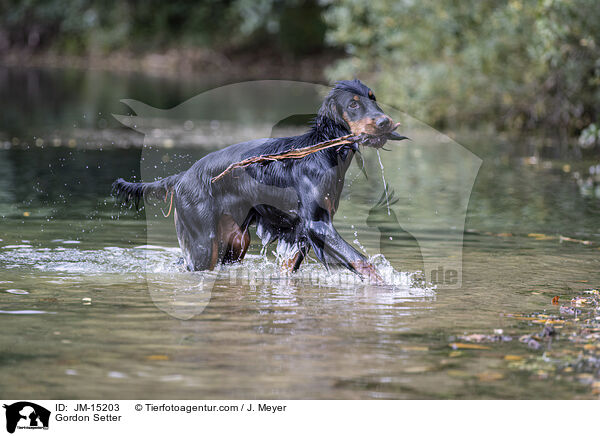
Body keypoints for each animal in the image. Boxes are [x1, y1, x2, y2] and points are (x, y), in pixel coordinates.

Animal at [112, 79, 404, 282]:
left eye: (373, 100)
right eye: (353, 105)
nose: (385, 122)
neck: (324, 151)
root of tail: (183, 176)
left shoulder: (302, 233)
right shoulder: (317, 225)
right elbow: (363, 261)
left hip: (234, 242)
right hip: (204, 244)